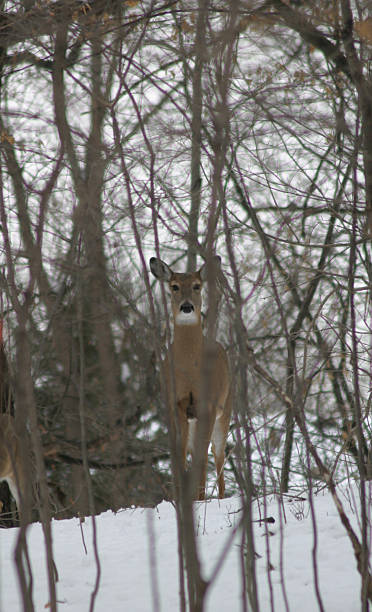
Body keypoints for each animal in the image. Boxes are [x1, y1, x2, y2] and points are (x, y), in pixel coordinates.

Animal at [149, 256, 231, 500]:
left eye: (197, 285)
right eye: (174, 286)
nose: (187, 307)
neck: (190, 368)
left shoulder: (208, 404)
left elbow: (203, 457)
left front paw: (200, 499)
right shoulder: (177, 402)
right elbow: (181, 453)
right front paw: (181, 497)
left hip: (226, 408)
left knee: (217, 453)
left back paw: (218, 497)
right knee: (197, 452)